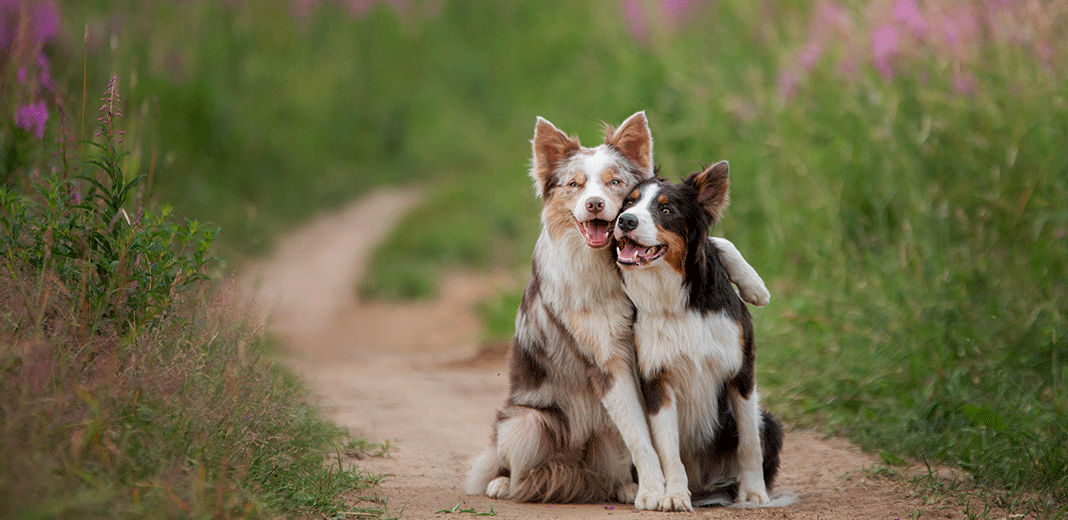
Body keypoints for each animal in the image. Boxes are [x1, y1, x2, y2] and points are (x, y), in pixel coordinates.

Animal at [610, 163, 786, 512]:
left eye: (666, 210)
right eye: (628, 203)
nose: (625, 221)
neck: (677, 300)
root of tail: (704, 485)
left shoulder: (740, 371)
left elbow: (749, 442)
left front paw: (753, 493)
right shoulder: (657, 379)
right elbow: (667, 450)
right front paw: (675, 496)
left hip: (771, 424)